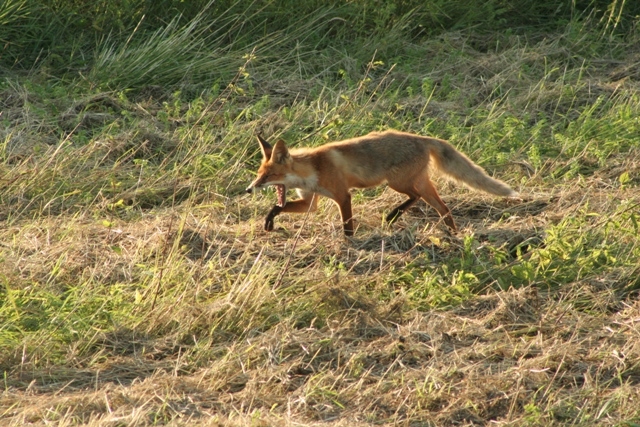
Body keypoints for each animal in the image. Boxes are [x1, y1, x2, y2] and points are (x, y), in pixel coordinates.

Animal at [245, 130, 517, 236]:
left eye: (267, 176)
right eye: (259, 174)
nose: (249, 188)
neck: (313, 169)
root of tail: (422, 138)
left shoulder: (343, 196)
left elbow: (347, 225)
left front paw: (349, 244)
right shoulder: (309, 202)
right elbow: (277, 207)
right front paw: (269, 222)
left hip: (397, 182)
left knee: (416, 198)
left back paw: (393, 215)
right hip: (419, 183)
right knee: (444, 209)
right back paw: (453, 234)